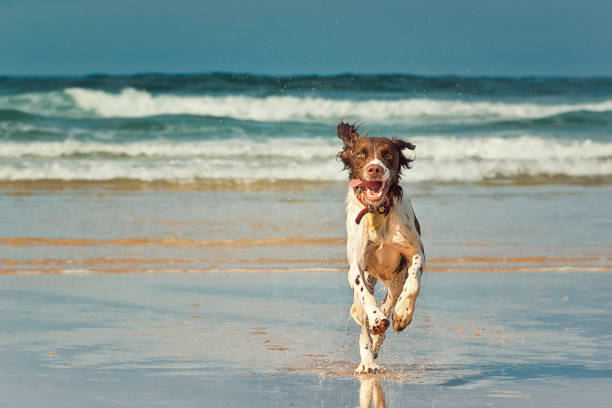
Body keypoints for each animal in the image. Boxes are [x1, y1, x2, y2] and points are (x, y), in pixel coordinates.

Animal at [338, 120, 424, 372]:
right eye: (360, 154)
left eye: (388, 154)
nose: (374, 169)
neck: (378, 212)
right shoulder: (356, 267)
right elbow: (366, 296)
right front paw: (376, 318)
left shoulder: (415, 252)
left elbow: (414, 282)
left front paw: (403, 313)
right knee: (363, 323)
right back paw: (368, 360)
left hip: (395, 283)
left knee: (391, 302)